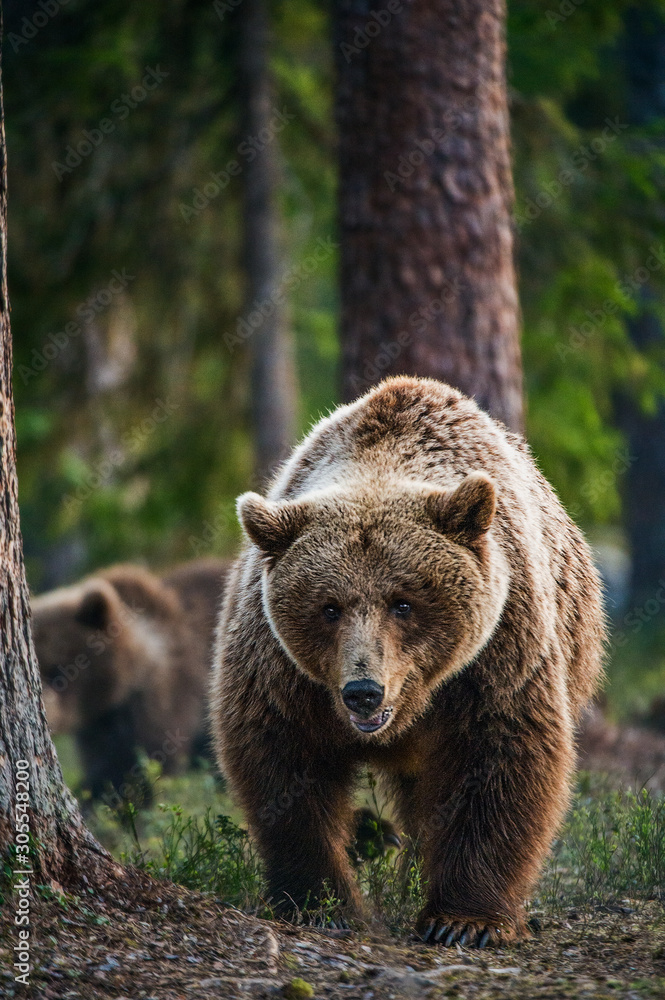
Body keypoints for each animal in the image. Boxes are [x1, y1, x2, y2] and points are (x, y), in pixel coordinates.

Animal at [211, 377, 606, 946]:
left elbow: (500, 758)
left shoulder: (497, 650)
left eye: (404, 602)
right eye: (328, 606)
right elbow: (283, 764)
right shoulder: (279, 666)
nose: (363, 691)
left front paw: (464, 920)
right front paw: (324, 903)